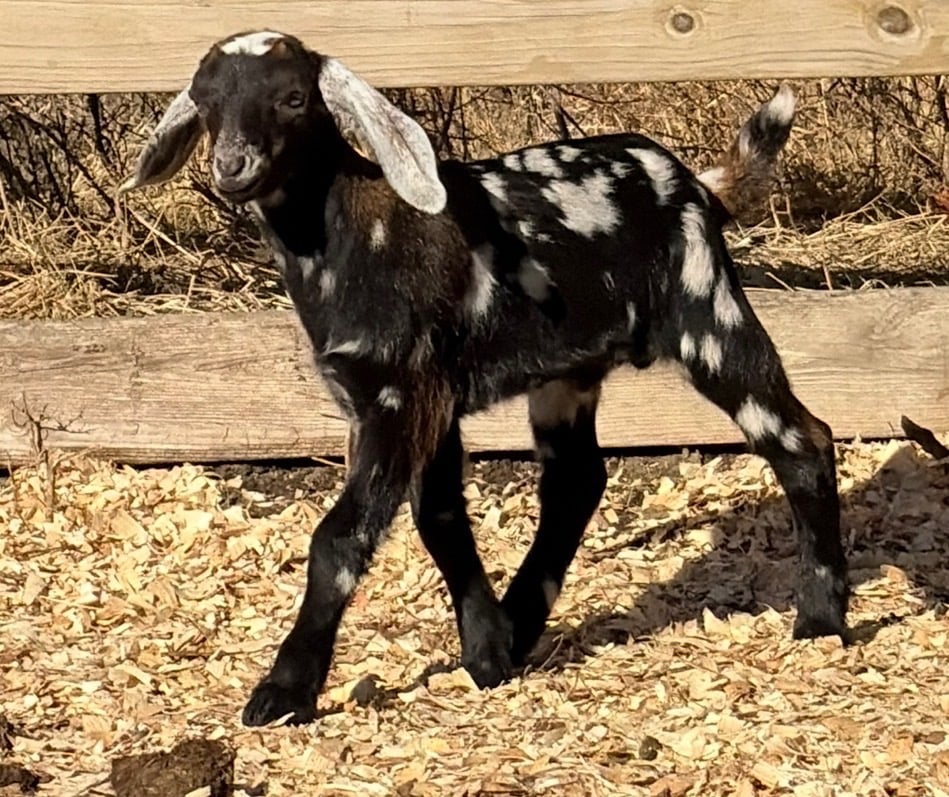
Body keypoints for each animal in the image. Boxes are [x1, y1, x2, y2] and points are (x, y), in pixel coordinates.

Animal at [120, 31, 847, 728]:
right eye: (205, 102)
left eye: (293, 98)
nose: (232, 168)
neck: (355, 236)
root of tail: (695, 184)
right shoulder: (422, 400)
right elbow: (440, 518)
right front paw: (487, 649)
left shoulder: (399, 394)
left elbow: (340, 539)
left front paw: (284, 690)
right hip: (567, 370)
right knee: (575, 479)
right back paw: (522, 619)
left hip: (707, 314)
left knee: (800, 437)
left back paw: (821, 617)